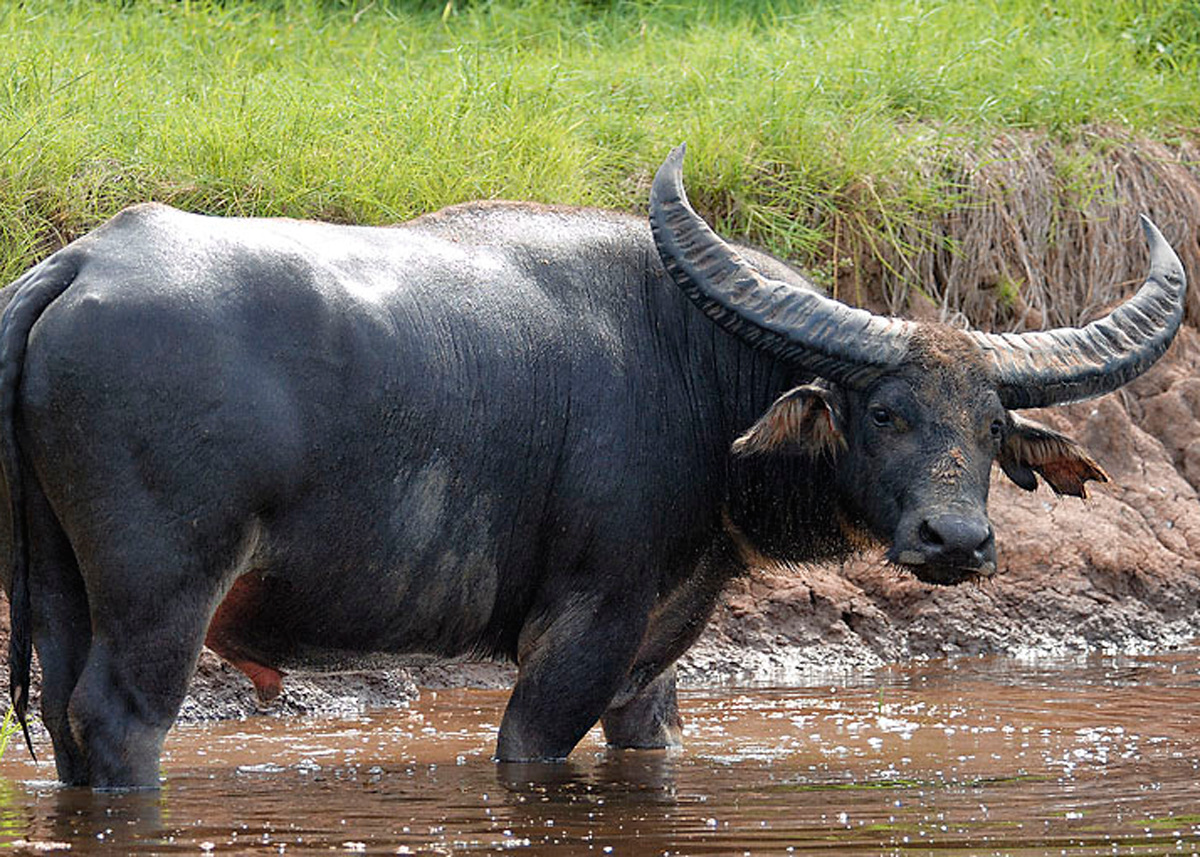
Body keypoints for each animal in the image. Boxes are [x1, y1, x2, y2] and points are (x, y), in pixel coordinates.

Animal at [0, 145, 1186, 788]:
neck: (695, 370)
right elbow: (531, 744)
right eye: (885, 411)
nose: (958, 541)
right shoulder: (582, 630)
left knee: (62, 719)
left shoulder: (657, 649)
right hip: (163, 591)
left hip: (58, 588)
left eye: (988, 424)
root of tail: (80, 263)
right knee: (120, 721)